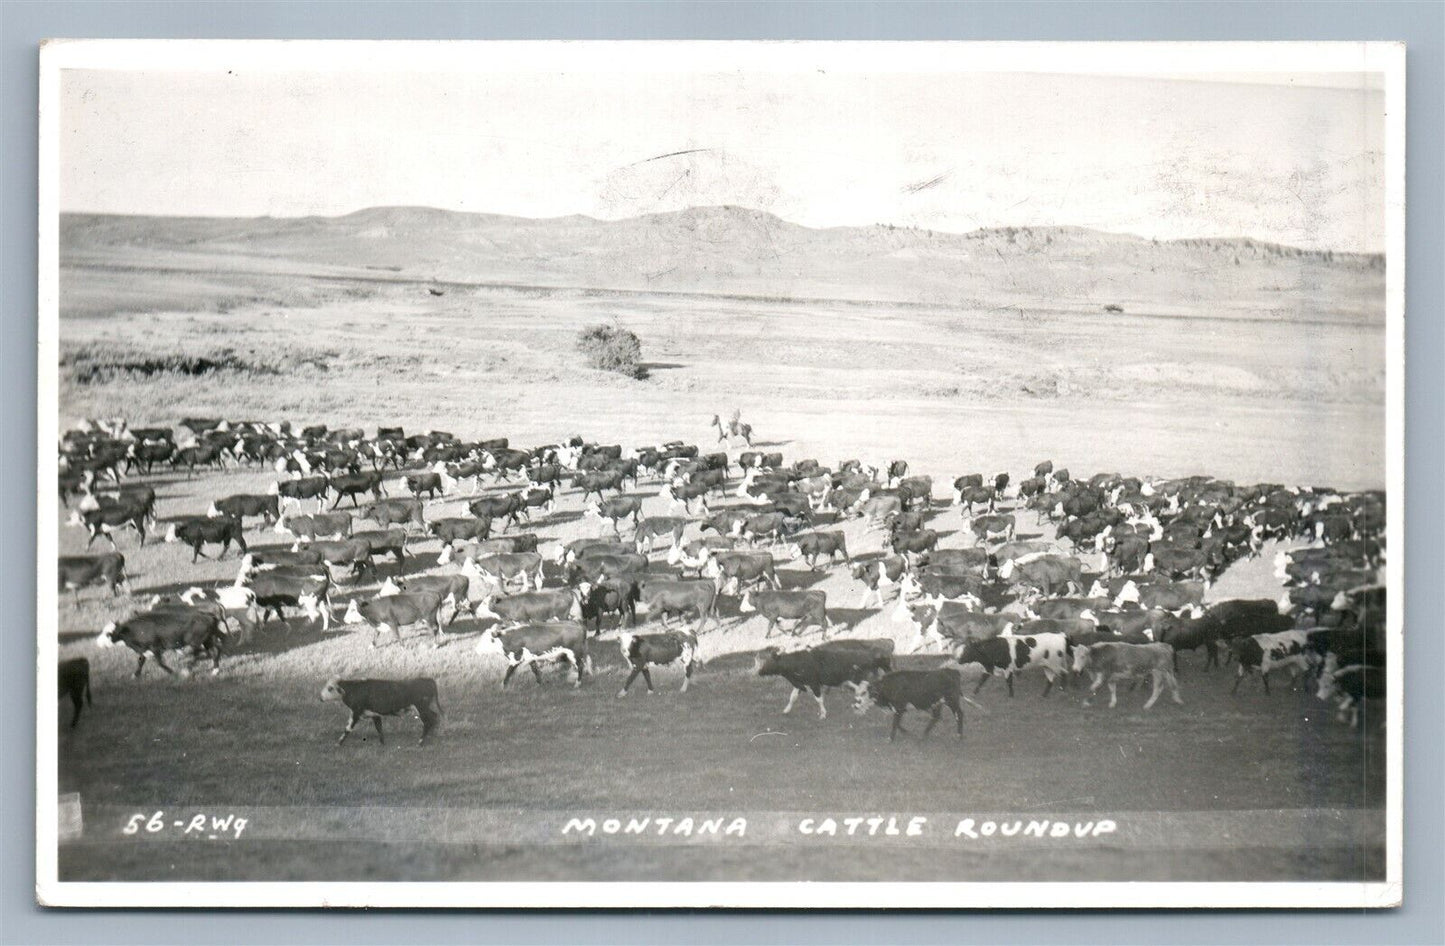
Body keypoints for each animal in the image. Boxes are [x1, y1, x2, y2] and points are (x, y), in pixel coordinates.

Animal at [96, 609, 225, 675]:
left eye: (108, 634)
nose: (97, 642)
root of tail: (208, 615)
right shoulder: (143, 649)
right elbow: (141, 661)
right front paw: (136, 675)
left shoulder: (155, 647)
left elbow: (159, 662)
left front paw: (172, 672)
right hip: (207, 640)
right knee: (215, 650)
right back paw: (215, 670)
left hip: (196, 641)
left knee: (198, 653)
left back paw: (188, 669)